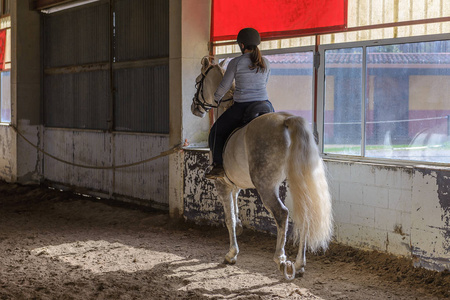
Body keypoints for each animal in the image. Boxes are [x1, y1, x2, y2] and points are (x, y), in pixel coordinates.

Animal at [190, 57, 330, 280]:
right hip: (297, 181)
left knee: (282, 214)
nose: (195, 108)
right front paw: (238, 234)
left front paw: (231, 254)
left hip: (265, 185)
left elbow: (229, 218)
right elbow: (235, 214)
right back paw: (299, 264)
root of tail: (287, 120)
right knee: (305, 214)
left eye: (197, 82)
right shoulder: (235, 185)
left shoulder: (222, 185)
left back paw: (281, 260)